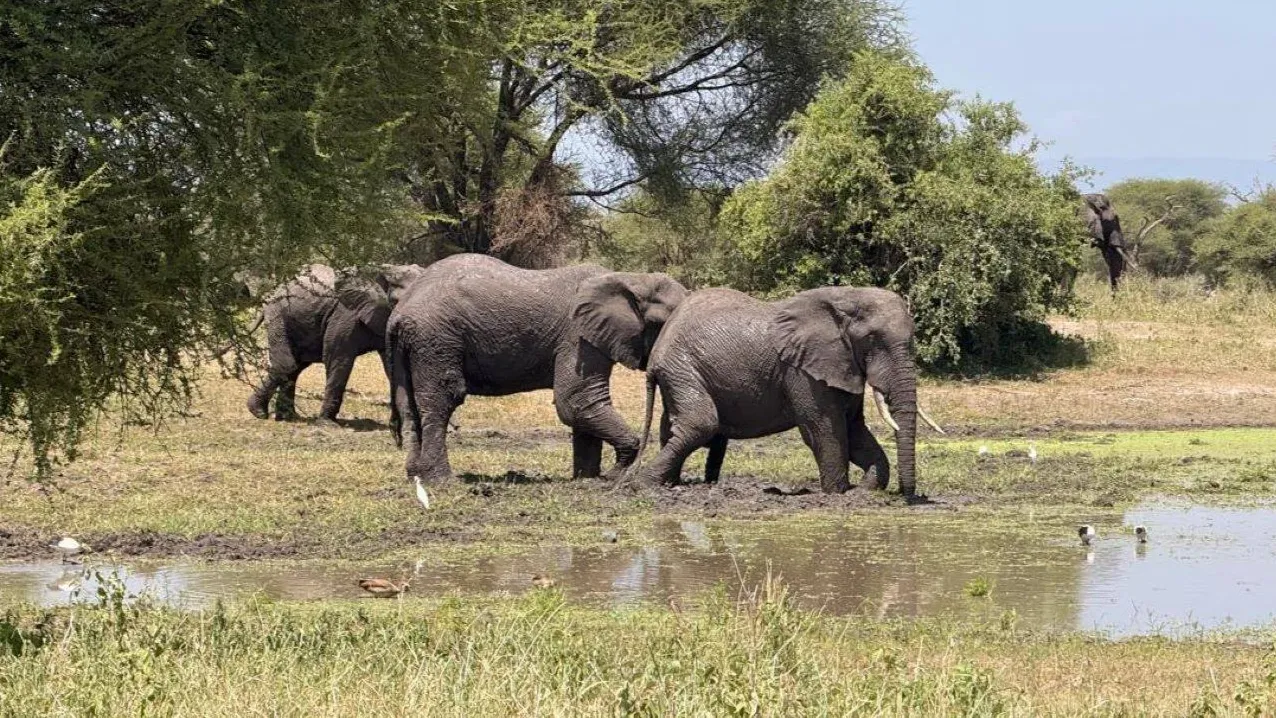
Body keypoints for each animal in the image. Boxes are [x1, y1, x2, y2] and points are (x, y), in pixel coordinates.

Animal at [246, 263, 424, 422]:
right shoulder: (346, 314)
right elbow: (339, 360)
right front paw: (328, 422)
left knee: (296, 367)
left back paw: (287, 417)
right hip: (278, 315)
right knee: (288, 364)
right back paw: (259, 412)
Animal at [387, 253, 686, 484]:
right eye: (664, 323)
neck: (631, 279)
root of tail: (401, 311)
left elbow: (581, 406)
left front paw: (586, 479)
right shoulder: (578, 337)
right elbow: (575, 400)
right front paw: (616, 473)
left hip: (411, 346)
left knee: (407, 404)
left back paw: (415, 476)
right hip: (436, 339)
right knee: (442, 399)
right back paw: (442, 481)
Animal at [628, 286, 942, 497]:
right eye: (873, 340)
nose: (907, 495)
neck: (846, 298)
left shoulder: (842, 364)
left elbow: (854, 430)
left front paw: (865, 489)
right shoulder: (803, 371)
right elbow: (824, 429)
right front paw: (837, 493)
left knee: (672, 426)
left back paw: (669, 483)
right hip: (683, 368)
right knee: (700, 424)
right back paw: (645, 485)